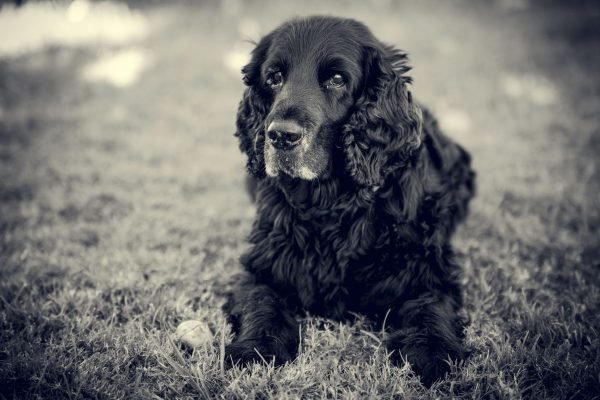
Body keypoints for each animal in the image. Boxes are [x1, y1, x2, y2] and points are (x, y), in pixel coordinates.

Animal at [227, 16, 476, 388]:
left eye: (337, 79)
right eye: (274, 77)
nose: (281, 136)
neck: (333, 204)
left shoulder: (425, 267)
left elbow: (430, 307)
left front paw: (432, 352)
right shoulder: (262, 266)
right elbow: (260, 301)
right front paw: (254, 347)